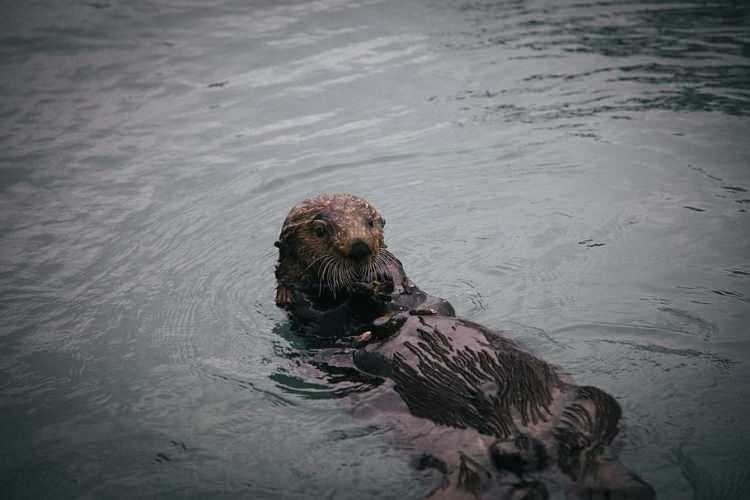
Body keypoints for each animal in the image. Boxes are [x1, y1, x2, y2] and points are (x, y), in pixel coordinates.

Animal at [274, 193, 656, 498]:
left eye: (369, 223)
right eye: (320, 230)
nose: (359, 247)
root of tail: (527, 441)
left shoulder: (415, 293)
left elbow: (423, 297)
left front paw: (384, 279)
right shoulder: (304, 315)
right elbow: (325, 320)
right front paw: (361, 296)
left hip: (588, 403)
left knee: (588, 444)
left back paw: (624, 487)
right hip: (458, 454)